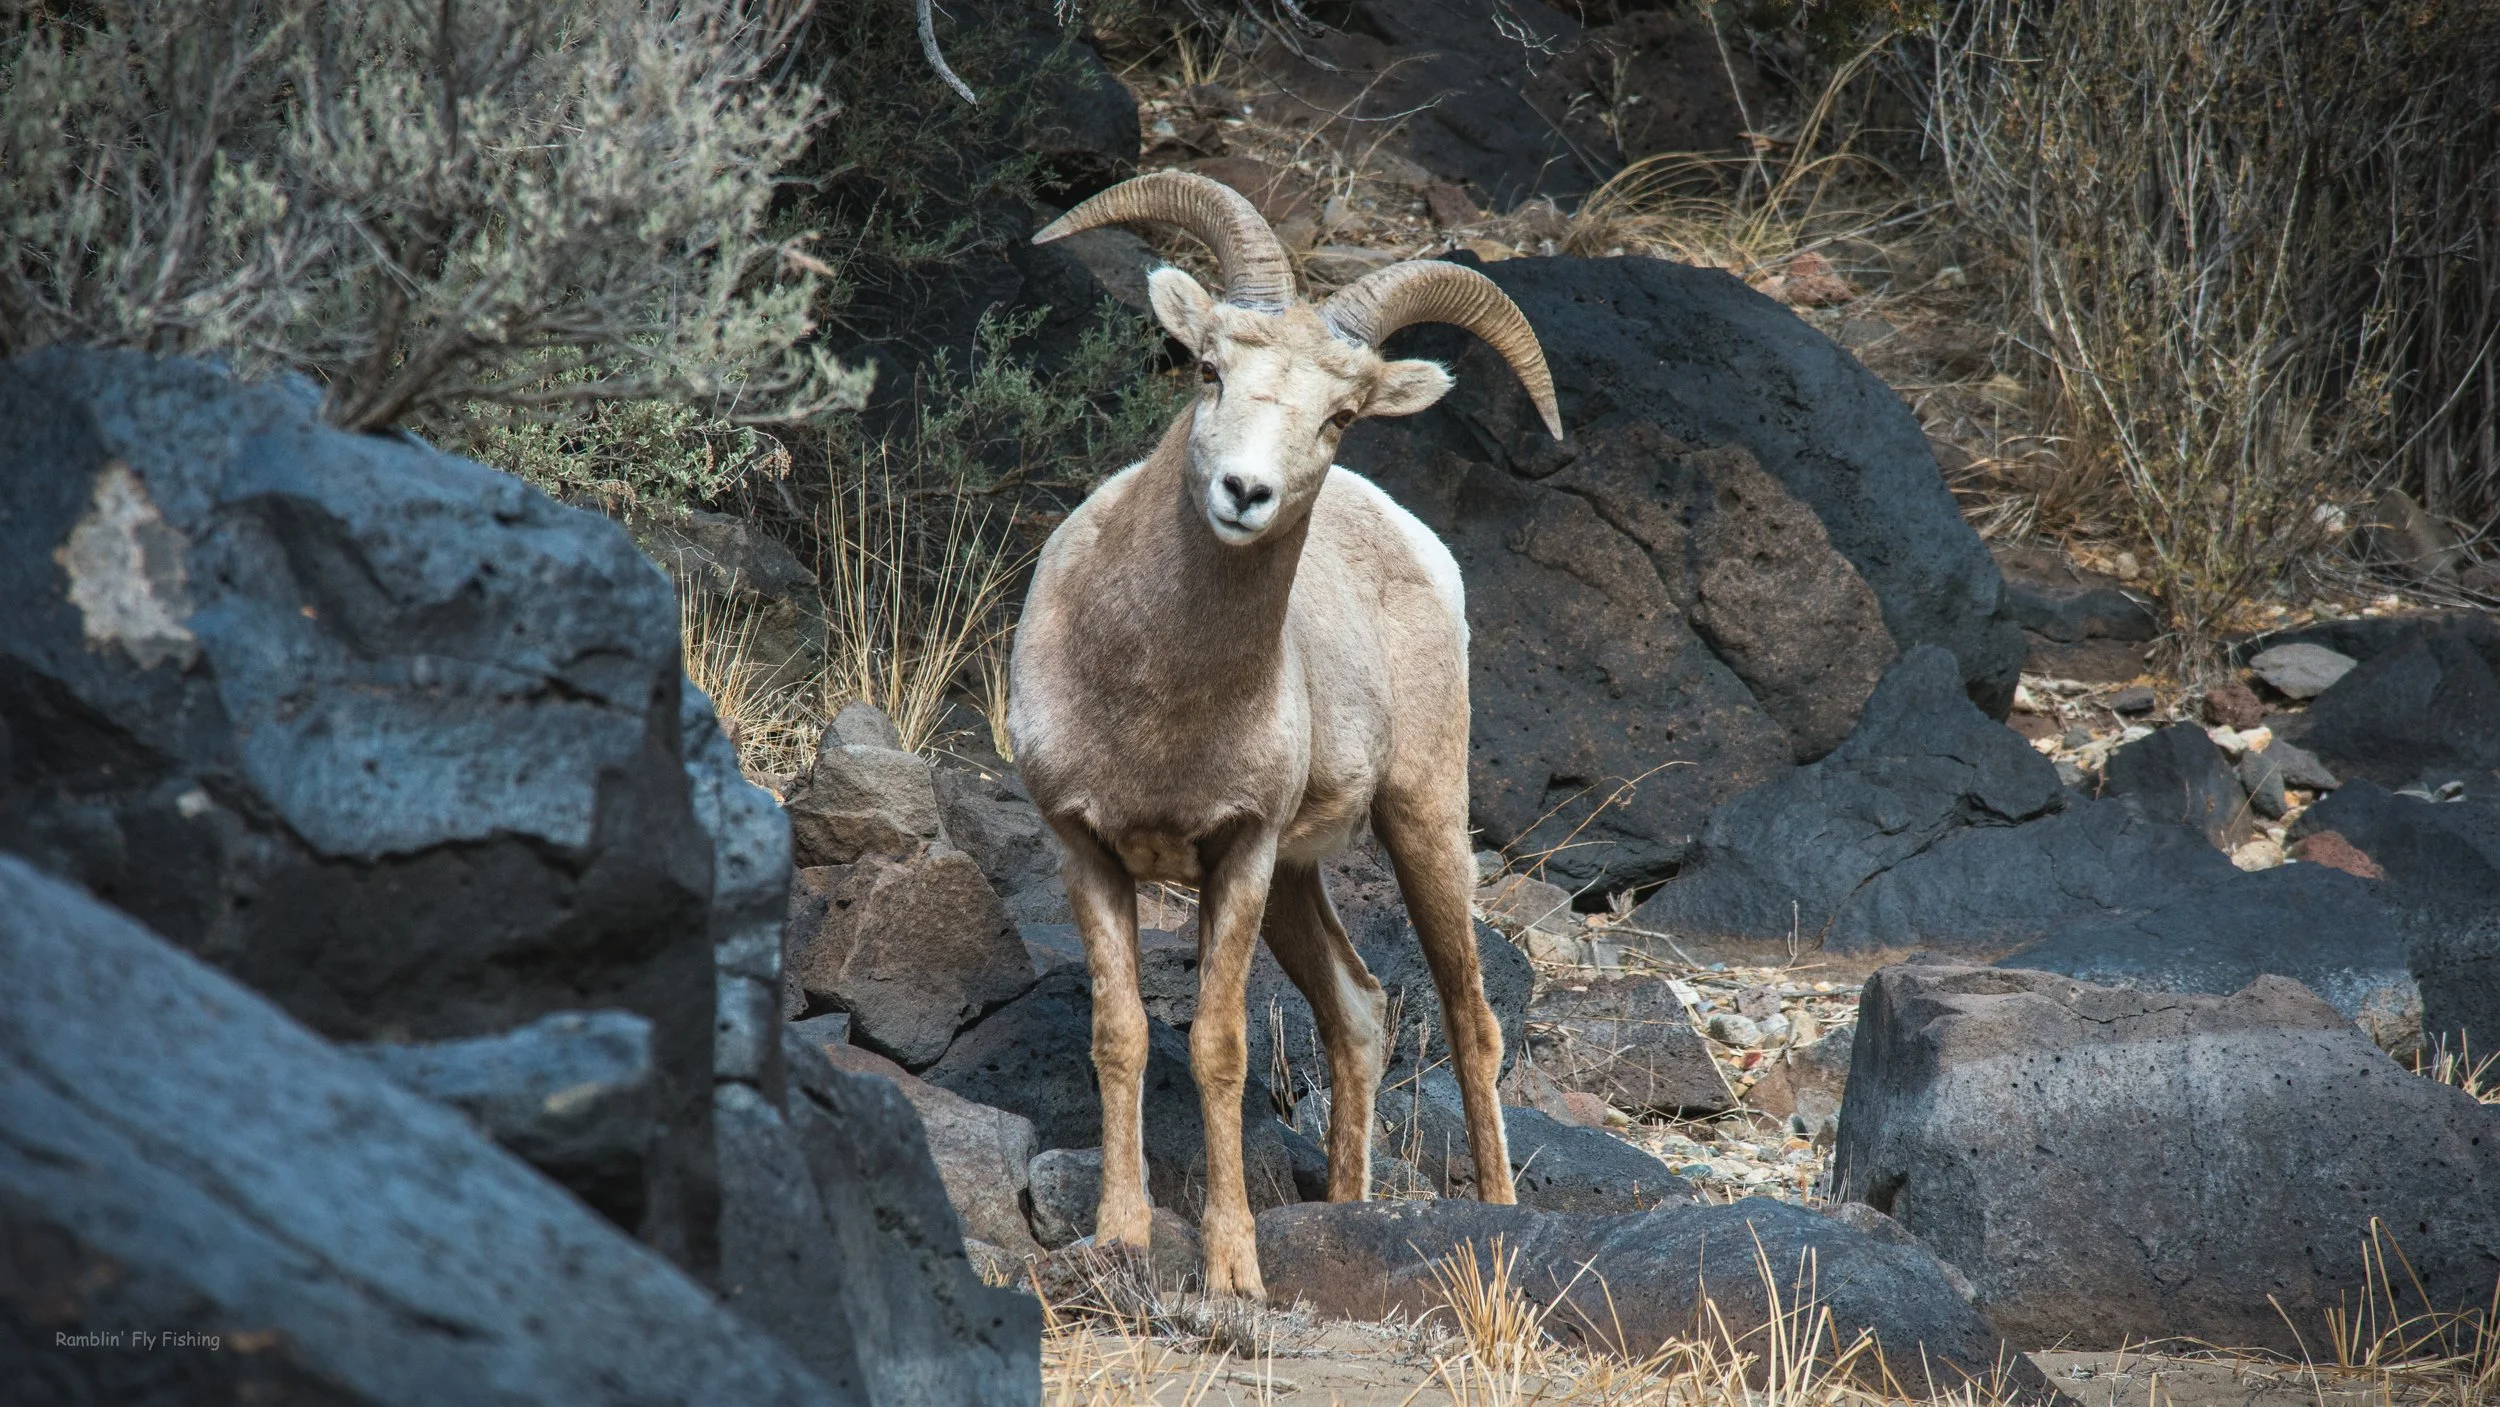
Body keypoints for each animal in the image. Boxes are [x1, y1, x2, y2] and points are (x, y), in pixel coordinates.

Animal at [1009, 170, 1564, 1299]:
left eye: (1340, 413)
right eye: (1209, 369)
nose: (1245, 494)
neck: (1156, 700)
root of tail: (1416, 541)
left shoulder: (1242, 850)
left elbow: (1217, 1048)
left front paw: (1233, 1272)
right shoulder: (1087, 847)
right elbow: (1121, 1036)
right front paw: (1121, 1239)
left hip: (1419, 818)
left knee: (1469, 1016)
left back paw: (1495, 1218)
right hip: (1307, 880)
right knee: (1358, 1012)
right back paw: (1345, 1214)